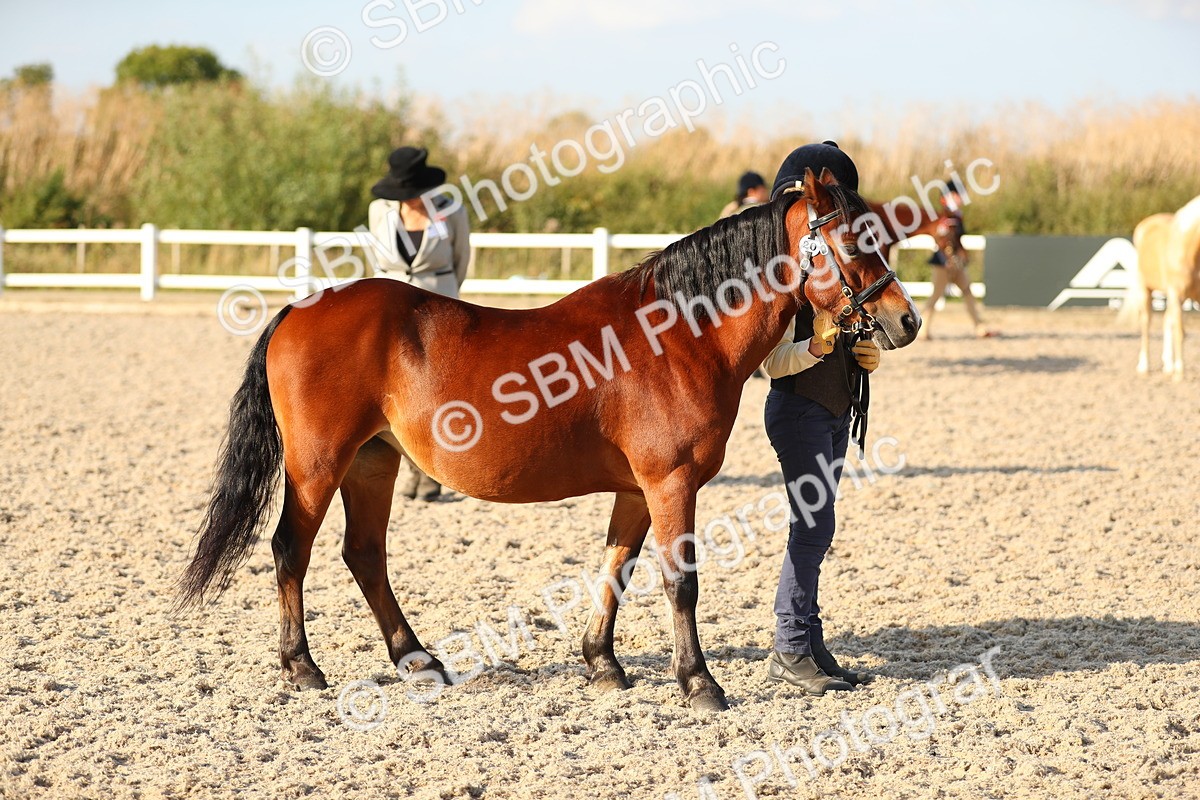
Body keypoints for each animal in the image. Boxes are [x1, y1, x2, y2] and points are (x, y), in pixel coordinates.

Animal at [176, 168, 921, 712]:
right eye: (855, 242)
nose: (905, 319)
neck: (680, 333)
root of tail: (302, 307)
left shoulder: (637, 490)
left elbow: (616, 568)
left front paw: (604, 664)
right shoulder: (671, 482)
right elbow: (680, 581)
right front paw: (700, 683)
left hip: (372, 462)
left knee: (364, 555)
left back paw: (419, 660)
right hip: (317, 465)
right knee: (290, 550)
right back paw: (302, 666)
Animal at [1131, 198, 1200, 380]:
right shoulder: (1175, 293)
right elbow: (1180, 332)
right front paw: (1179, 374)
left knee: (1166, 321)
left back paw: (1168, 365)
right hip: (1146, 290)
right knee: (1146, 323)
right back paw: (1144, 366)